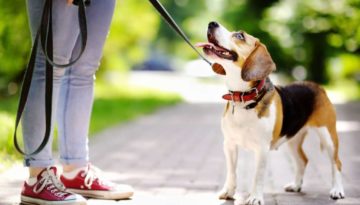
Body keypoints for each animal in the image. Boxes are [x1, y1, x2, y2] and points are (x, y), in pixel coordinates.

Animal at [197, 21, 346, 205]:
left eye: (239, 36)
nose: (212, 23)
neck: (244, 99)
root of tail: (317, 86)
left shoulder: (262, 149)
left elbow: (258, 176)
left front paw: (255, 198)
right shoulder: (229, 145)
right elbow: (232, 172)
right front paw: (228, 192)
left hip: (328, 136)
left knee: (337, 163)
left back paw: (337, 190)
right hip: (293, 139)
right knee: (303, 160)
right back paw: (296, 185)